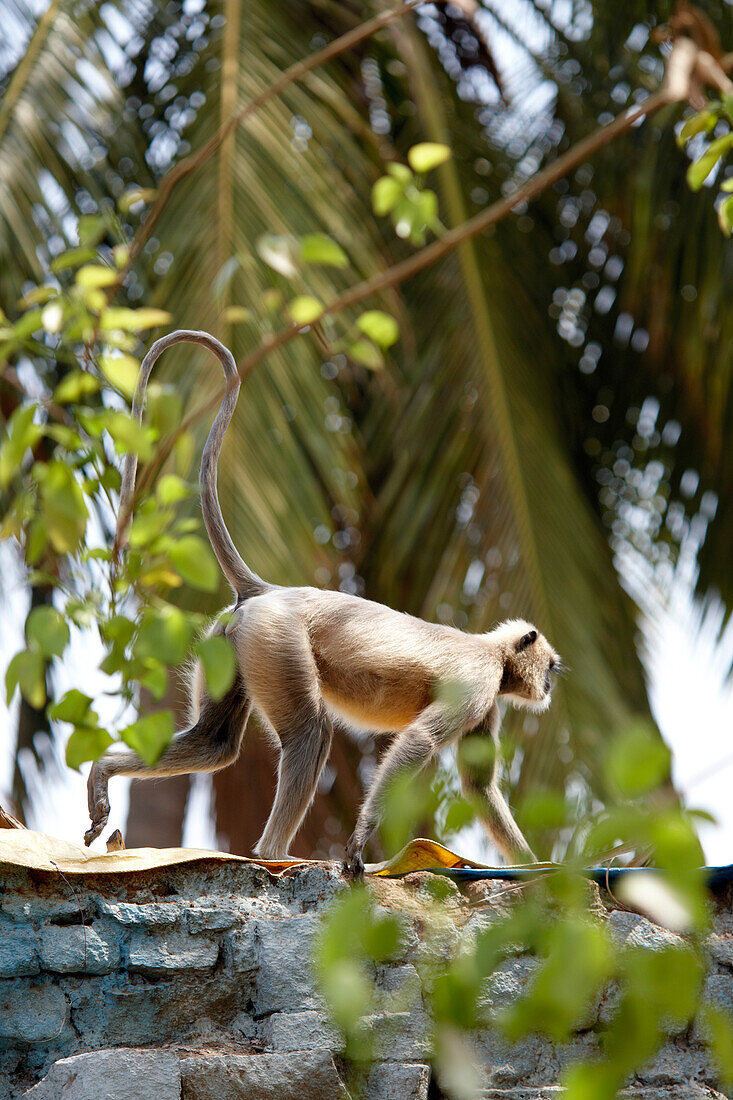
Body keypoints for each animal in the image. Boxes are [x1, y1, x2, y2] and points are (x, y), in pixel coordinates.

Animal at [86, 327, 563, 875]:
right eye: (550, 667)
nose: (549, 685)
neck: (491, 650)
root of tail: (269, 592)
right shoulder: (480, 680)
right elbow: (419, 742)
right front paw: (358, 843)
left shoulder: (489, 701)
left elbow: (479, 786)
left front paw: (539, 866)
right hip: (276, 638)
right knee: (309, 732)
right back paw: (274, 855)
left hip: (232, 640)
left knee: (214, 743)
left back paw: (104, 771)